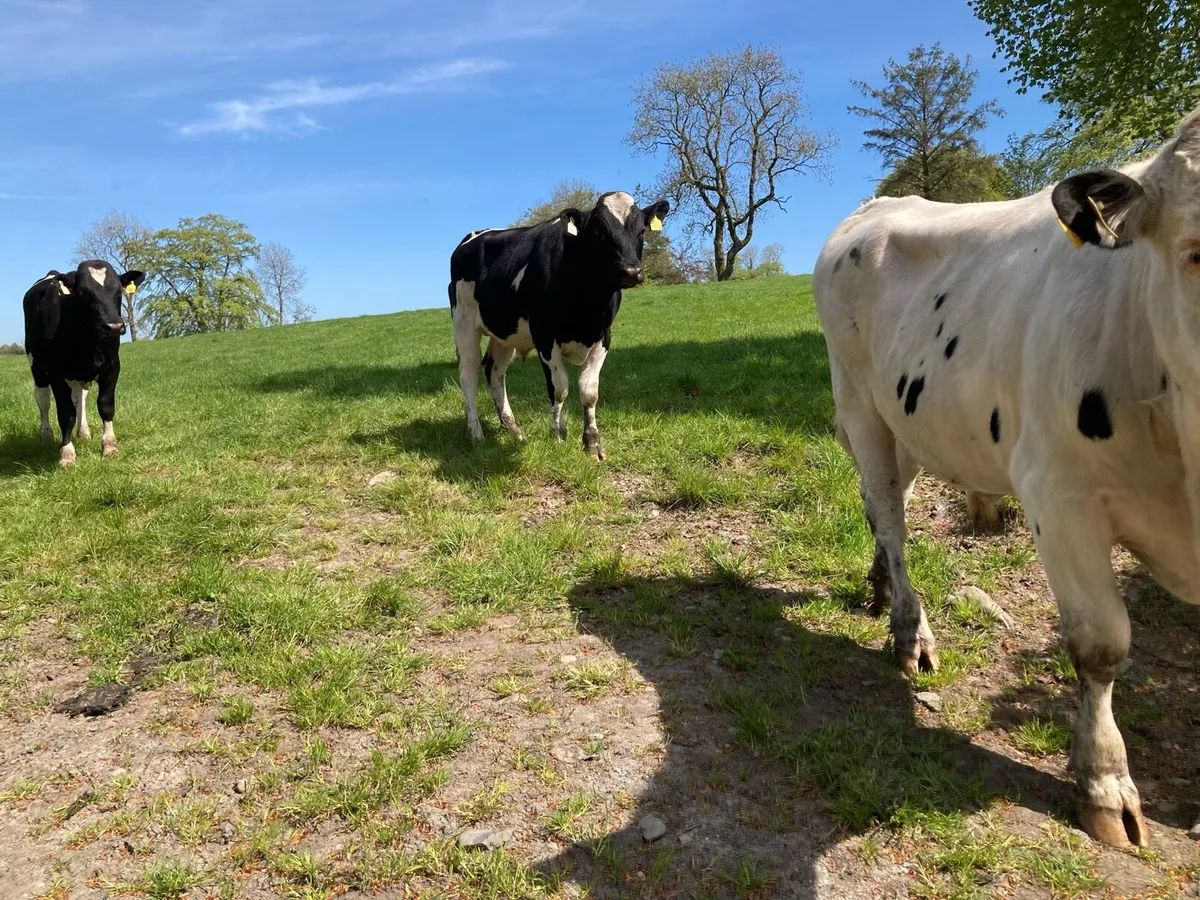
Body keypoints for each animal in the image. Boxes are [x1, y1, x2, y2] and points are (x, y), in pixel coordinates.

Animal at [24, 260, 145, 467]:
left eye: (118, 291)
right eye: (83, 292)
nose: (114, 326)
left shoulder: (112, 366)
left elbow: (105, 405)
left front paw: (109, 446)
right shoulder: (56, 373)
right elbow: (66, 414)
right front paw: (67, 454)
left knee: (79, 398)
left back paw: (83, 431)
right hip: (36, 366)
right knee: (43, 399)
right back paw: (46, 434)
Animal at [448, 191, 670, 459]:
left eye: (641, 231)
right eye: (599, 232)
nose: (631, 271)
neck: (588, 305)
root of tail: (472, 237)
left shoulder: (603, 337)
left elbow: (589, 391)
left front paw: (592, 443)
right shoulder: (544, 335)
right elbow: (559, 388)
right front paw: (558, 434)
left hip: (504, 333)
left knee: (494, 371)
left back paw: (514, 430)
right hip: (463, 322)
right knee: (468, 374)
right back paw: (476, 433)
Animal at [812, 104, 1200, 849]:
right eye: (1195, 252)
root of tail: (875, 206)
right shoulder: (1060, 492)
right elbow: (1101, 644)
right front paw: (1104, 783)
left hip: (911, 419)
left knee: (883, 503)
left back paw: (880, 589)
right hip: (860, 402)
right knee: (891, 516)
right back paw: (910, 631)